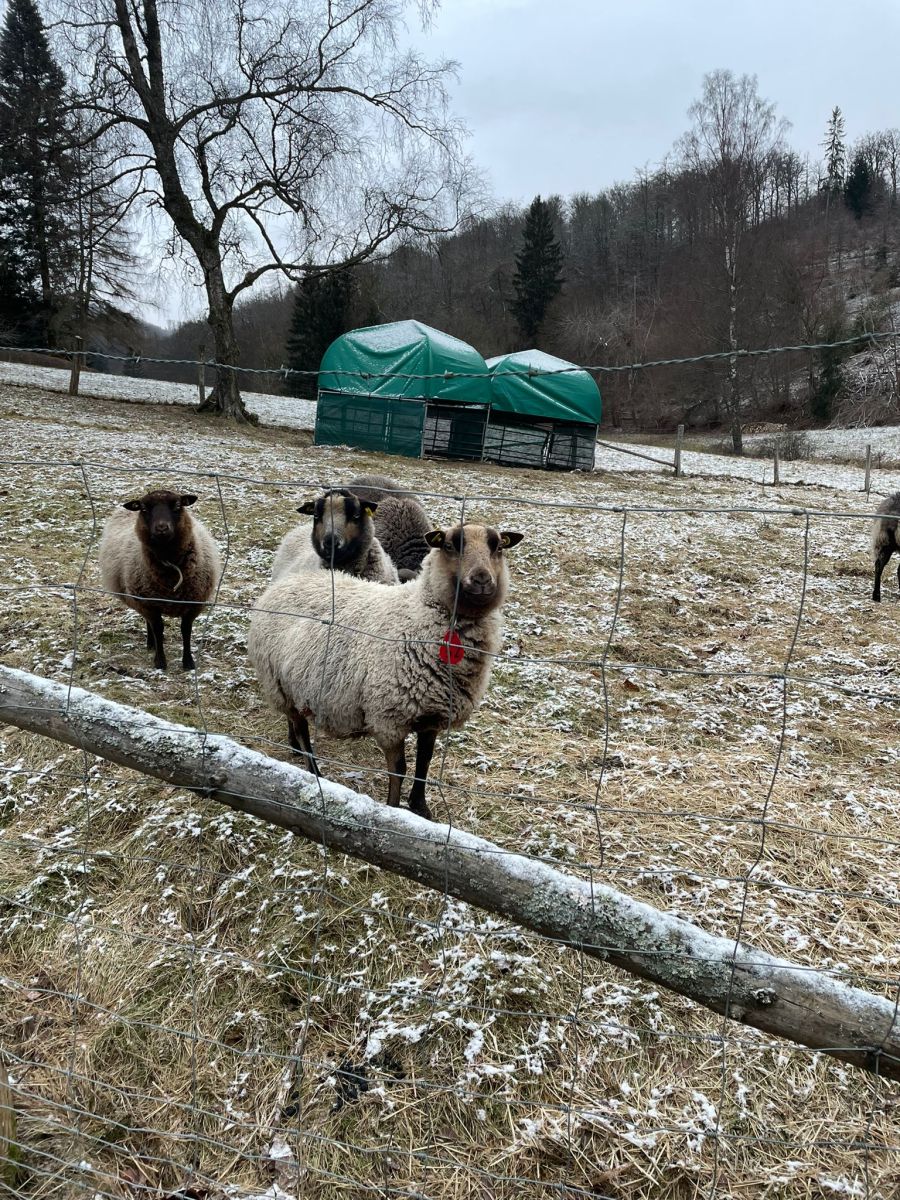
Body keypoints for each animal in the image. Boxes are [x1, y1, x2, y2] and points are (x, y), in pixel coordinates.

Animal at [99, 489, 222, 671]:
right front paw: (160, 661)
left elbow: (186, 630)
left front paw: (188, 662)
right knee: (149, 623)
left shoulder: (193, 604)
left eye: (177, 505)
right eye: (143, 508)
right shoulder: (149, 603)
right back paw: (152, 643)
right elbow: (158, 628)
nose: (162, 528)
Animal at [248, 522, 525, 819]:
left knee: (294, 718)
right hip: (277, 681)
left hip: (290, 685)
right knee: (302, 730)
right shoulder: (388, 717)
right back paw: (314, 771)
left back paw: (294, 748)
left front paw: (420, 808)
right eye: (450, 545)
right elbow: (399, 771)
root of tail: (285, 583)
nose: (482, 579)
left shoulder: (432, 716)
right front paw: (393, 810)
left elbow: (424, 764)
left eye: (498, 546)